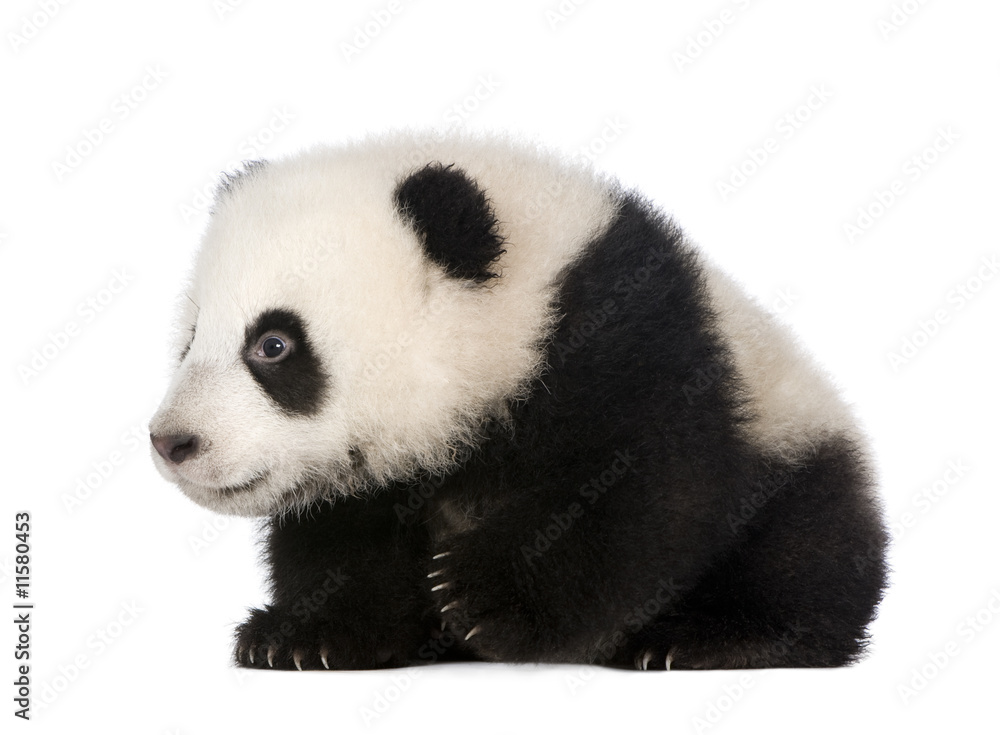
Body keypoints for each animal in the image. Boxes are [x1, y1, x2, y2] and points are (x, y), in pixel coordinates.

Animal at [150, 131, 888, 671]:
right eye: (189, 340)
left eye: (273, 344)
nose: (173, 441)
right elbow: (344, 541)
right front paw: (303, 635)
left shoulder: (626, 340)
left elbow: (640, 494)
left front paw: (484, 596)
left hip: (788, 439)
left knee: (804, 551)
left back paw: (707, 637)